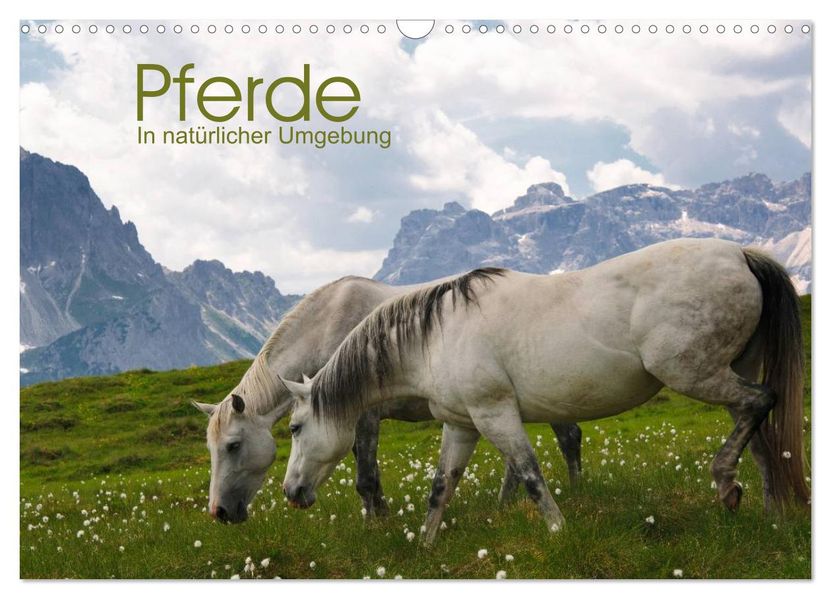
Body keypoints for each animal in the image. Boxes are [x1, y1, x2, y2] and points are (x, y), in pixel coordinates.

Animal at [191, 274, 584, 523]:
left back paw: (577, 493)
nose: (219, 512)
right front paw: (381, 515)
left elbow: (365, 478)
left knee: (568, 438)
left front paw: (374, 526)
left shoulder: (363, 418)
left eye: (233, 445)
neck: (330, 328)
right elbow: (372, 476)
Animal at [280, 238, 809, 545]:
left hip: (693, 374)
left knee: (762, 401)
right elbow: (441, 486)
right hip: (727, 371)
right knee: (759, 435)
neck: (436, 336)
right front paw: (425, 546)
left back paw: (725, 482)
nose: (291, 492)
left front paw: (558, 531)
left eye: (296, 427)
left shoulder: (494, 413)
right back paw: (767, 513)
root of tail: (740, 255)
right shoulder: (462, 424)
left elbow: (530, 473)